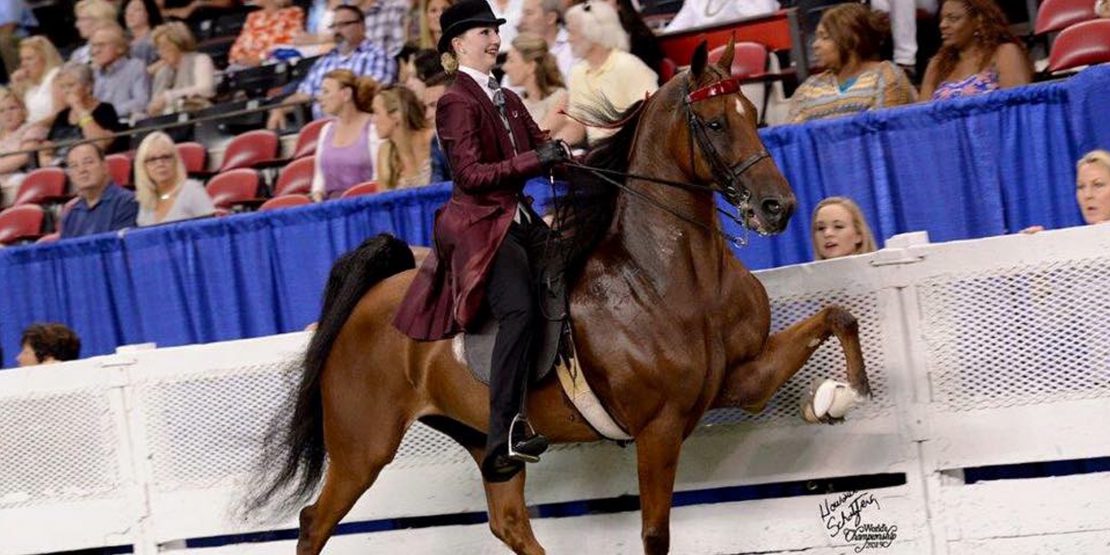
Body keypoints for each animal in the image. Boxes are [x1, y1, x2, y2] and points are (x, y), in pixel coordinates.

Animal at [247, 41, 870, 552]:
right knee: (314, 524)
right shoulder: (659, 426)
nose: (777, 208)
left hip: (485, 443)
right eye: (715, 123)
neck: (673, 275)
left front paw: (847, 393)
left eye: (752, 115)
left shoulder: (741, 379)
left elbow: (837, 316)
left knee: (509, 524)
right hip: (362, 448)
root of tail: (372, 297)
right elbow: (655, 535)